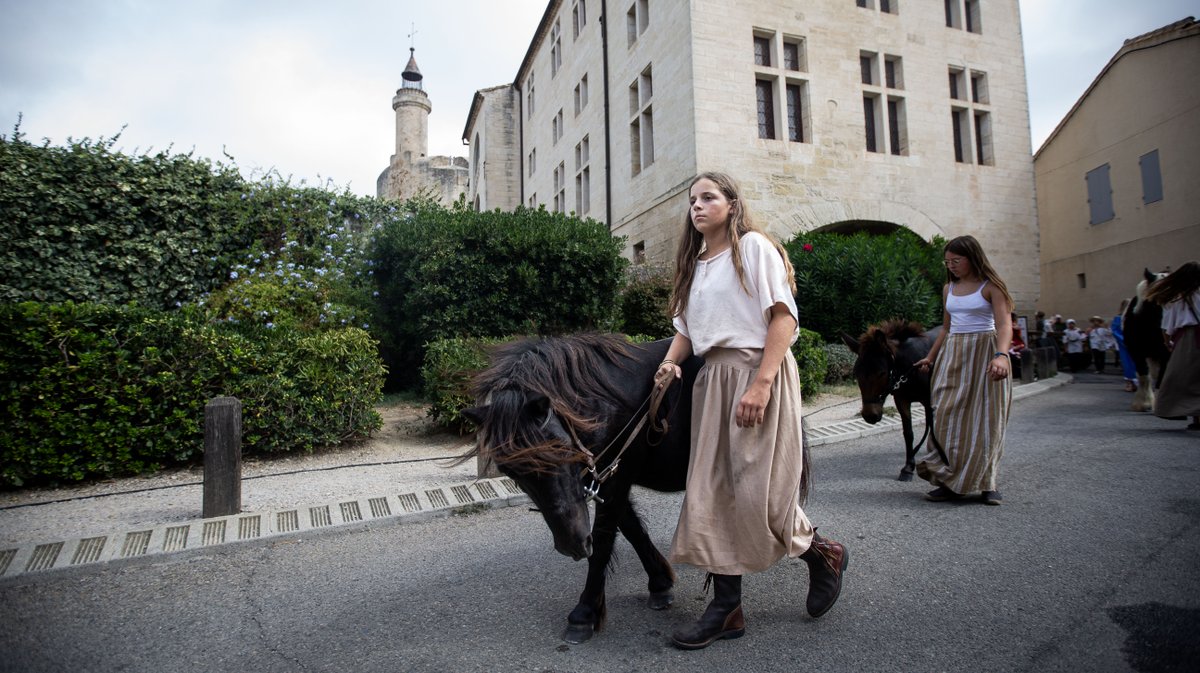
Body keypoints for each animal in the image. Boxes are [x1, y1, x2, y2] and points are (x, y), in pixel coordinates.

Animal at [458, 333, 816, 643]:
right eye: (510, 471)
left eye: (558, 450)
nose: (571, 544)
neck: (608, 403)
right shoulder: (606, 475)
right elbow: (630, 528)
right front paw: (659, 583)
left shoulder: (614, 478)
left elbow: (604, 540)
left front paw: (584, 614)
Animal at [840, 319, 940, 479]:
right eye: (856, 373)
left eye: (881, 372)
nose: (870, 416)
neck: (912, 367)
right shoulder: (902, 400)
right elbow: (908, 433)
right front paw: (908, 467)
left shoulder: (930, 400)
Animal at [1123, 266, 1171, 410]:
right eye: (1155, 302)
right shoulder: (1136, 352)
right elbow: (1144, 375)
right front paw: (1143, 403)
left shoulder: (1165, 353)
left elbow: (1163, 375)